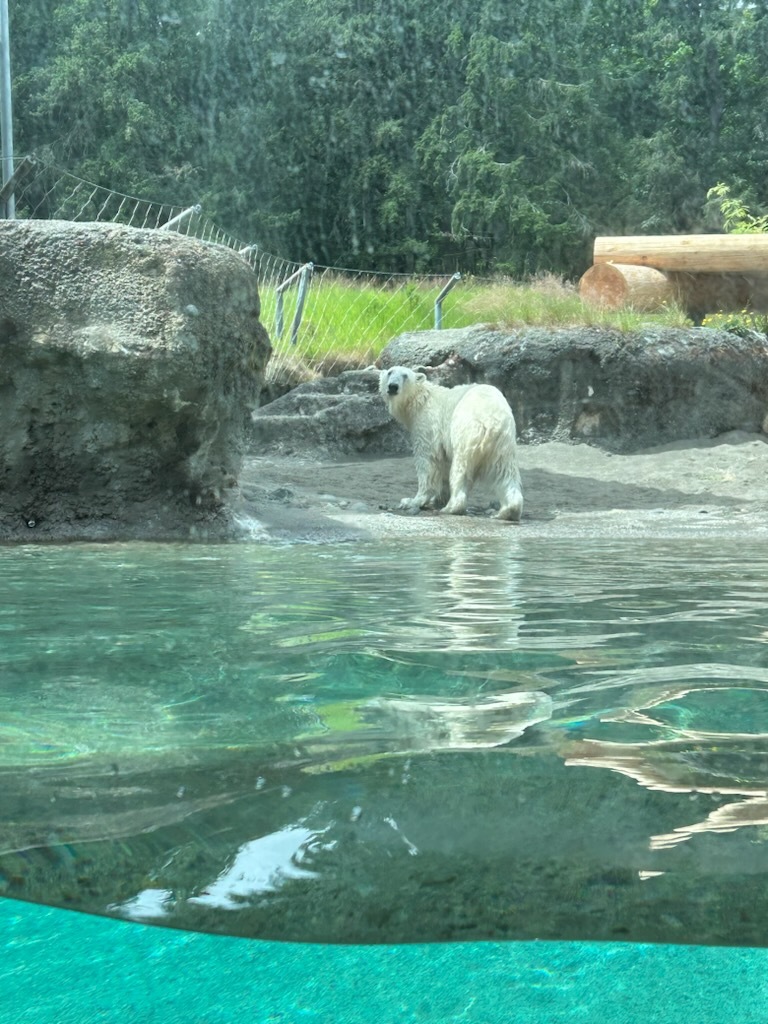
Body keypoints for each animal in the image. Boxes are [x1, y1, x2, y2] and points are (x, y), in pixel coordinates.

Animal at [379, 365, 523, 521]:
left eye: (405, 375)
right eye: (390, 372)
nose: (393, 386)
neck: (421, 400)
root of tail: (492, 418)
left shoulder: (427, 425)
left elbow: (427, 462)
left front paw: (413, 500)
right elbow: (444, 462)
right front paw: (437, 499)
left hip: (465, 432)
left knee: (460, 469)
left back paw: (451, 507)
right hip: (503, 443)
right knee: (505, 472)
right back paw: (507, 511)